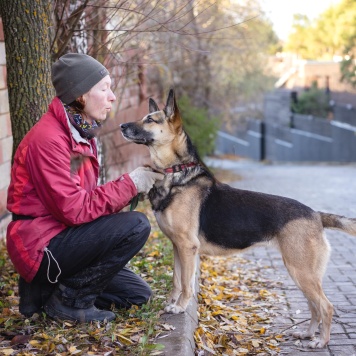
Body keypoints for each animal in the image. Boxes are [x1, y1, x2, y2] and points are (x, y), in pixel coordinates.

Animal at [121, 89, 356, 348]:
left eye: (150, 120)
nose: (121, 125)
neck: (176, 175)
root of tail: (316, 214)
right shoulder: (177, 247)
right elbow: (176, 280)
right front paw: (172, 303)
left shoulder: (187, 248)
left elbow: (186, 285)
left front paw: (180, 307)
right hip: (302, 274)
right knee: (314, 306)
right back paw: (307, 334)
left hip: (301, 272)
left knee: (326, 306)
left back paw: (320, 341)